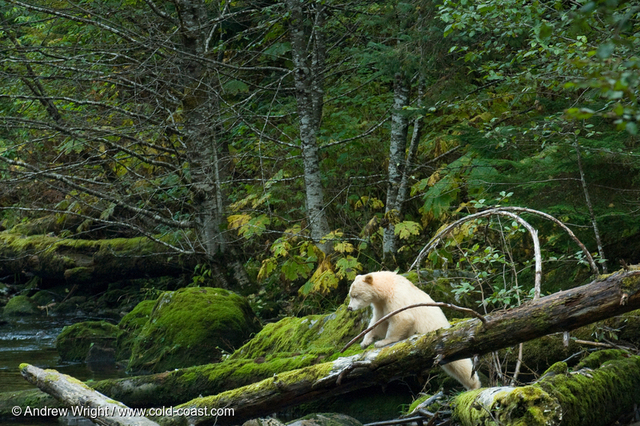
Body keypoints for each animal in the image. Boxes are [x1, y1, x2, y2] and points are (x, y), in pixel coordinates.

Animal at [347, 271, 481, 390]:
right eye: (350, 295)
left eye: (356, 295)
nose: (349, 308)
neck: (387, 286)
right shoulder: (381, 304)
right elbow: (378, 322)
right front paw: (365, 342)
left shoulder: (396, 296)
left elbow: (402, 318)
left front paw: (383, 342)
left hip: (445, 338)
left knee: (461, 364)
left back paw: (474, 384)